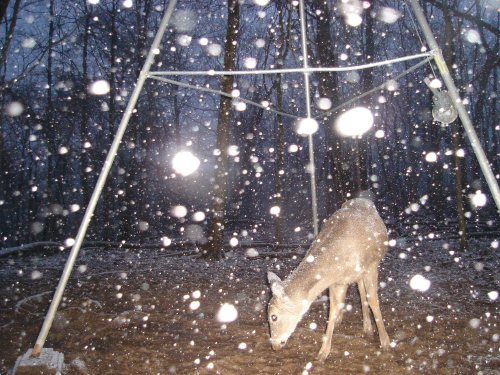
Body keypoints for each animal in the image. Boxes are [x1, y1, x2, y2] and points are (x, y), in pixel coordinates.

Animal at [266, 198, 390, 362]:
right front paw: (323, 352)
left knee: (363, 292)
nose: (274, 345)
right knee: (358, 290)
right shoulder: (335, 281)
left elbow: (374, 301)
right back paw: (357, 324)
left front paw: (385, 341)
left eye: (273, 317)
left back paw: (368, 328)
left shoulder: (371, 266)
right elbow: (332, 309)